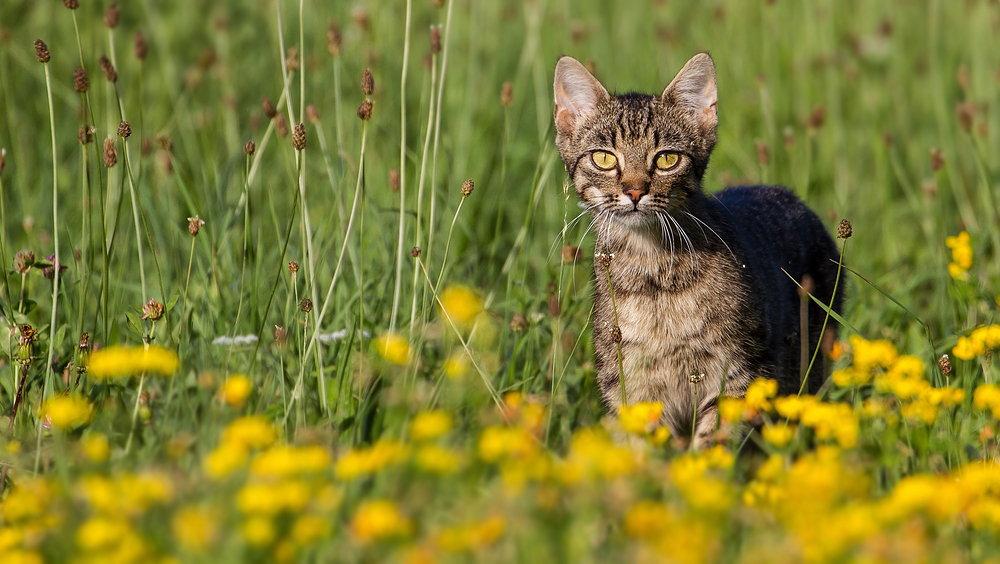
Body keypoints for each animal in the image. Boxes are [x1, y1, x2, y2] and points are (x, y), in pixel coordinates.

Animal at [556, 54, 844, 450]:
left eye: (667, 159)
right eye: (603, 158)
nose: (634, 191)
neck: (654, 275)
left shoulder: (739, 372)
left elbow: (714, 442)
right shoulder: (629, 382)